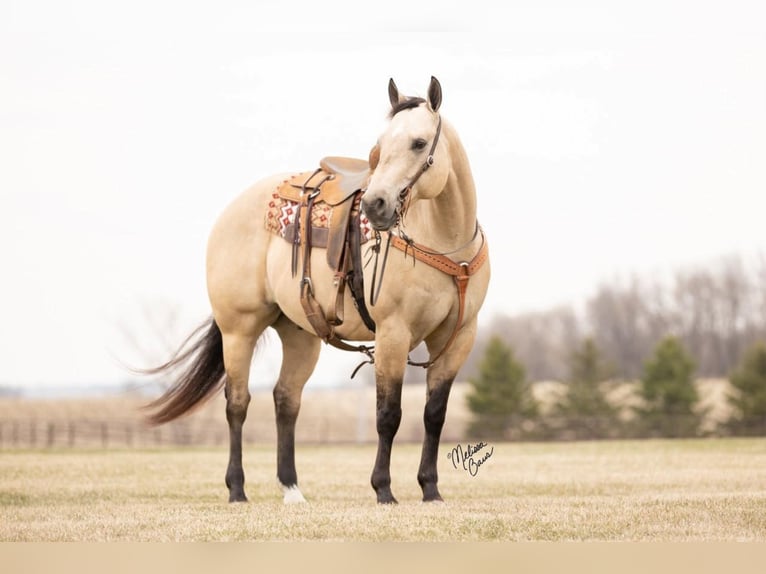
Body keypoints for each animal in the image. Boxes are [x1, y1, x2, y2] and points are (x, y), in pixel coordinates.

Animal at [145, 75, 492, 504]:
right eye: (380, 145)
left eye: (418, 142)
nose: (376, 205)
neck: (445, 245)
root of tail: (231, 212)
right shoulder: (393, 333)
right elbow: (388, 415)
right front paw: (383, 489)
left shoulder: (458, 337)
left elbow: (434, 415)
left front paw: (430, 489)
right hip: (238, 330)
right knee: (237, 404)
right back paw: (237, 489)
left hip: (301, 335)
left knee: (286, 400)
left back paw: (292, 489)